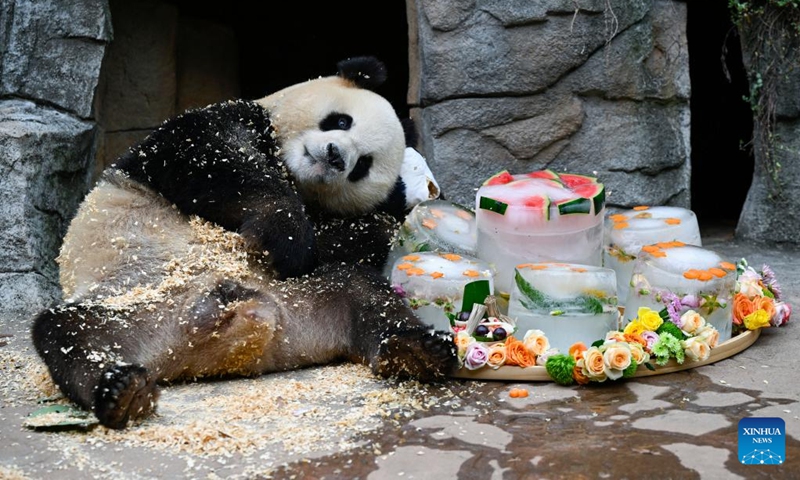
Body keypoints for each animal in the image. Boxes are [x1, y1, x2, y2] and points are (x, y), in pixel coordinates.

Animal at [31, 57, 458, 430]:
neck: (291, 171)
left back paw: (418, 351)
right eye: (340, 120)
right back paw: (121, 390)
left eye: (363, 166)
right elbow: (206, 156)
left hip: (307, 296)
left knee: (366, 293)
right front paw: (286, 232)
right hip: (132, 302)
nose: (336, 156)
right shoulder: (220, 124)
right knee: (69, 334)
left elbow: (347, 241)